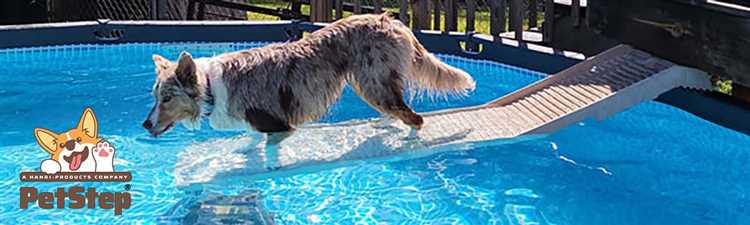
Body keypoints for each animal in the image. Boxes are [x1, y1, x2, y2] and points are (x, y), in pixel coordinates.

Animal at [141, 13, 476, 138]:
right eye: (155, 97)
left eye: (167, 98)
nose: (144, 124)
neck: (210, 86)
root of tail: (390, 20)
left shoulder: (277, 125)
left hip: (373, 83)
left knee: (414, 117)